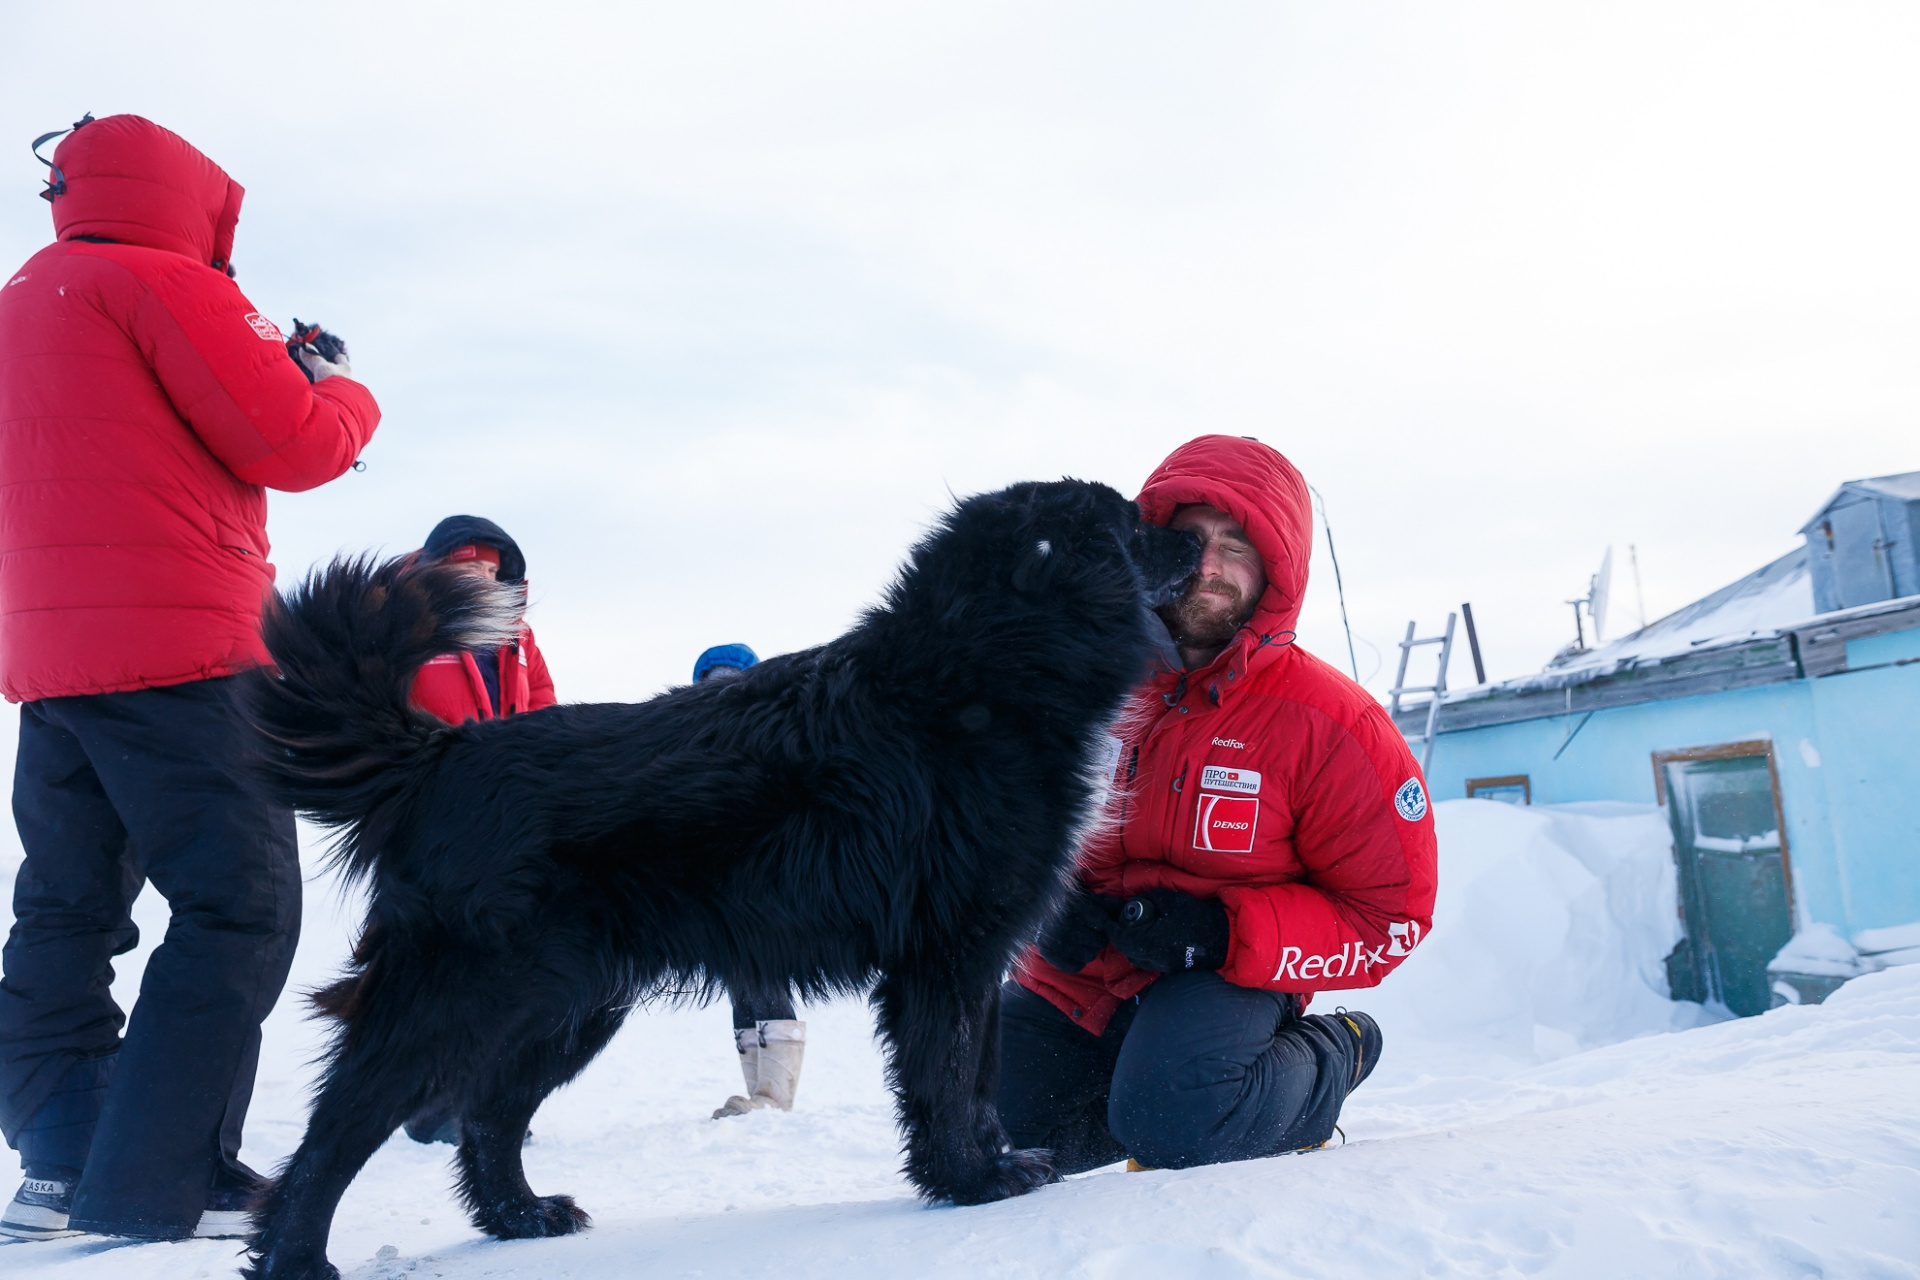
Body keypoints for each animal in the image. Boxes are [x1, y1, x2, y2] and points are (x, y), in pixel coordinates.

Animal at [240, 483, 1198, 1280]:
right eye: (1132, 523)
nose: (1192, 535)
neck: (978, 675)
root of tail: (440, 756)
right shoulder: (948, 955)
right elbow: (949, 1076)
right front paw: (969, 1182)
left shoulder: (978, 954)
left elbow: (981, 1079)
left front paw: (996, 1165)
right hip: (465, 998)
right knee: (341, 1127)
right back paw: (295, 1256)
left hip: (570, 1006)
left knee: (487, 1119)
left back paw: (522, 1217)